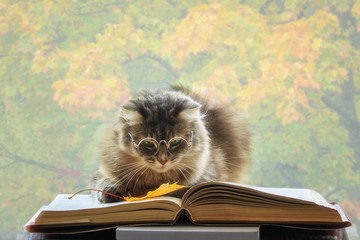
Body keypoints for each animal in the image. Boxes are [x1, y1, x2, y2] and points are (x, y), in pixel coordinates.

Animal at [94, 86, 252, 202]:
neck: (157, 180)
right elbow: (104, 181)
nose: (163, 160)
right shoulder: (103, 172)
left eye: (175, 141)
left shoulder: (207, 178)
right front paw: (112, 192)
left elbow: (180, 189)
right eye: (149, 143)